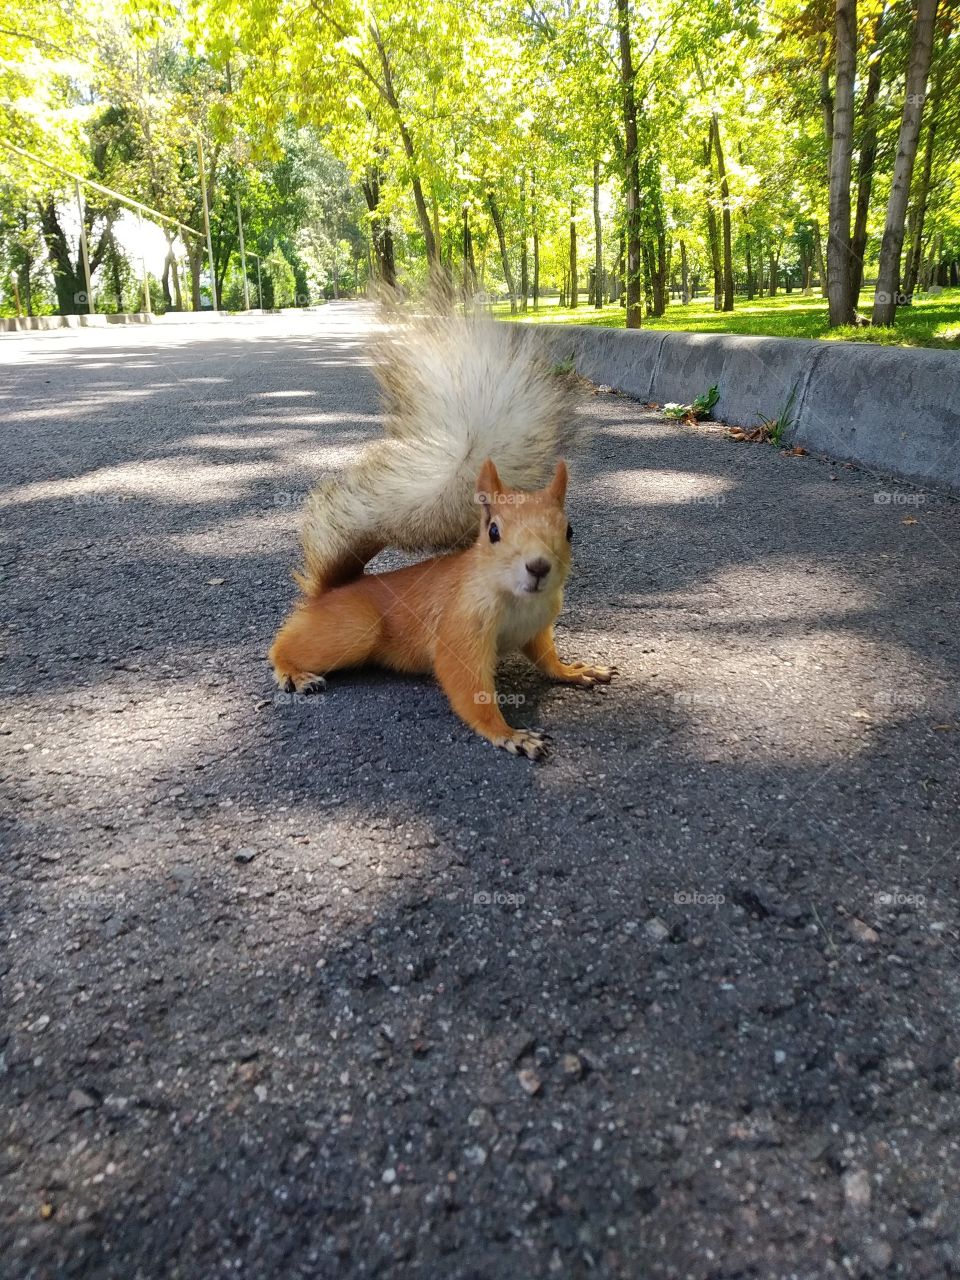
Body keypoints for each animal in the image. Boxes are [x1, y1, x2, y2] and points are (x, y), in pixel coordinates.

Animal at [268, 309, 616, 759]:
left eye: (570, 530)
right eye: (493, 532)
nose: (538, 567)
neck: (516, 600)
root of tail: (329, 592)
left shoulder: (538, 629)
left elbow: (546, 659)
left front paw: (573, 670)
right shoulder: (460, 627)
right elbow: (466, 684)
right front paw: (509, 733)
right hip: (354, 628)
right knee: (282, 647)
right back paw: (292, 672)